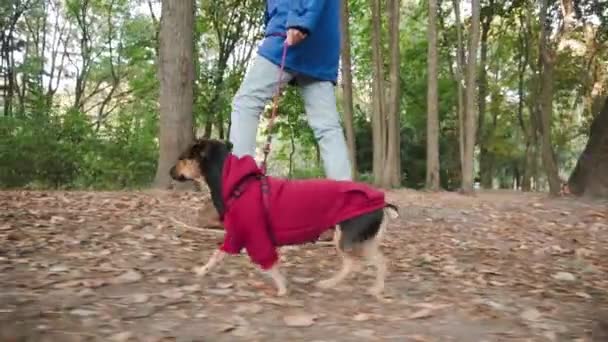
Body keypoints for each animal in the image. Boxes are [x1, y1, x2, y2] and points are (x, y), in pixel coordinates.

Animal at [170, 139, 400, 296]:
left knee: (358, 264)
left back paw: (340, 284)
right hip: (362, 240)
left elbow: (265, 263)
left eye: (182, 158)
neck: (236, 183)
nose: (170, 171)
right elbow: (218, 255)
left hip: (347, 239)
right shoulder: (237, 235)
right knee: (379, 261)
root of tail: (381, 203)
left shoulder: (253, 235)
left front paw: (281, 289)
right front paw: (202, 271)